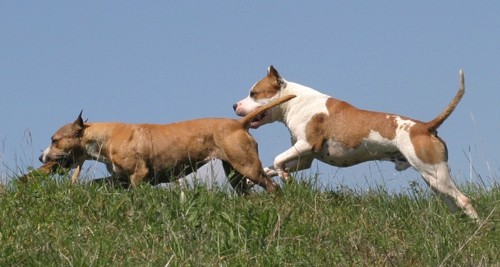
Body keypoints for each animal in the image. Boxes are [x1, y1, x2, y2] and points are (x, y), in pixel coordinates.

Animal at [42, 95, 296, 194]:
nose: (40, 157)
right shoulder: (119, 179)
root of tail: (238, 123)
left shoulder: (139, 175)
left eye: (54, 140)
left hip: (248, 167)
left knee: (272, 186)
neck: (105, 137)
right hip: (234, 172)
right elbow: (97, 183)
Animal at [236, 66, 478, 221]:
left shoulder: (306, 145)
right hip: (432, 178)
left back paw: (476, 226)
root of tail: (425, 127)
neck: (296, 101)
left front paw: (284, 176)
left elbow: (277, 160)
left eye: (253, 93)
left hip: (436, 174)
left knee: (464, 199)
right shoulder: (303, 159)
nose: (234, 105)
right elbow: (271, 166)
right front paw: (252, 180)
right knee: (452, 202)